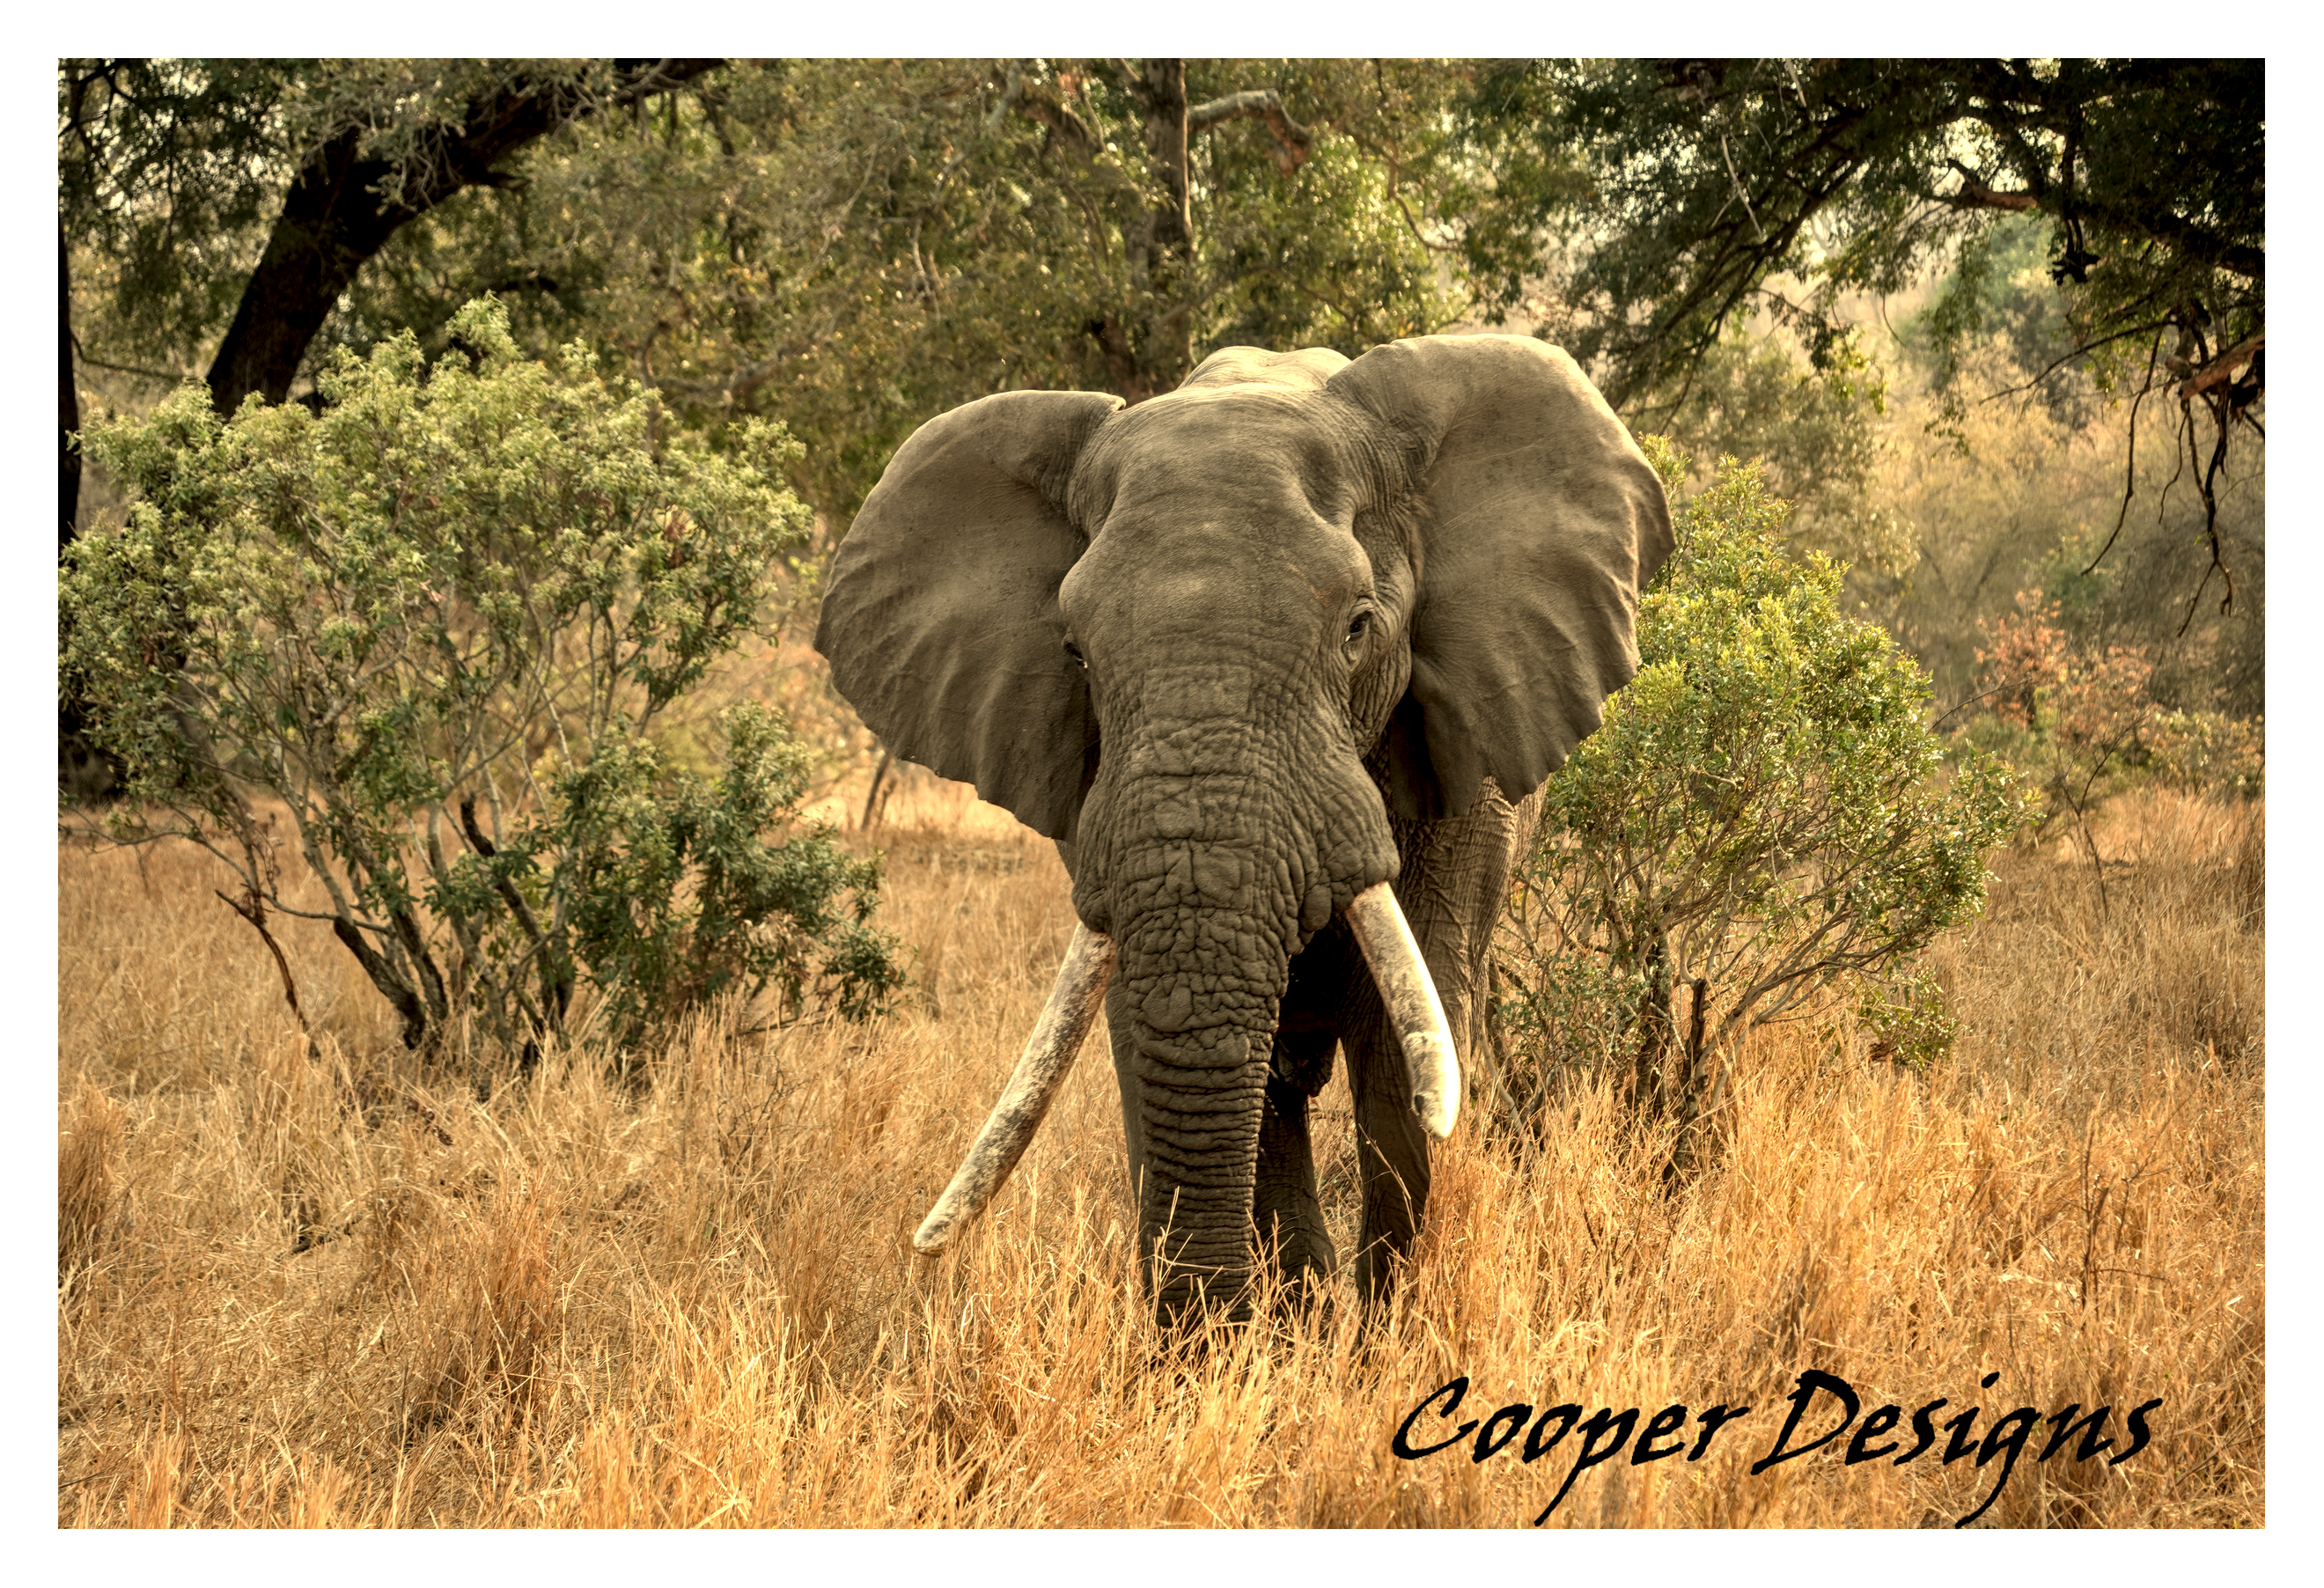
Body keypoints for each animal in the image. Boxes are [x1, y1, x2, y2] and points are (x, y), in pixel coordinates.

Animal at [815, 334, 1672, 1320]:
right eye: (1075, 652)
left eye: (1358, 628)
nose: (1200, 1333)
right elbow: (1151, 1031)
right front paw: (1267, 1339)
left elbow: (1405, 1052)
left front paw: (1386, 1337)